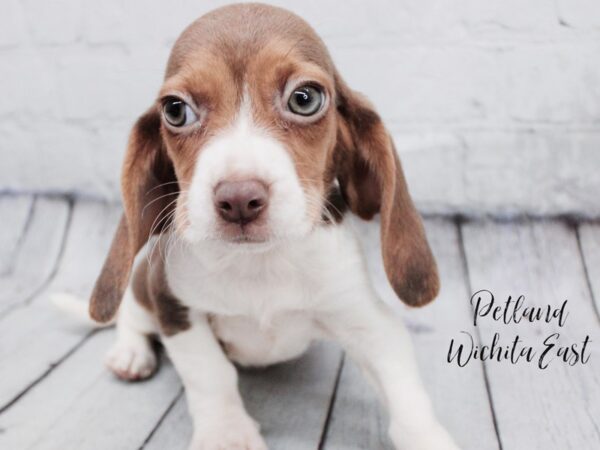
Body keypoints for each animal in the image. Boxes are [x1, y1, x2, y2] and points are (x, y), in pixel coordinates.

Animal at [88, 4, 460, 450]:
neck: (260, 262)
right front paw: (227, 434)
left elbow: (404, 388)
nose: (238, 199)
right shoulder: (175, 307)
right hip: (144, 285)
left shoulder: (366, 319)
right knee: (131, 315)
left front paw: (426, 436)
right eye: (175, 109)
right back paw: (131, 353)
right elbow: (211, 373)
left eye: (305, 98)